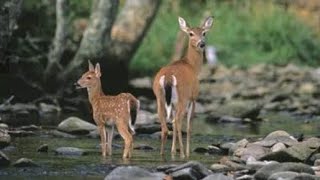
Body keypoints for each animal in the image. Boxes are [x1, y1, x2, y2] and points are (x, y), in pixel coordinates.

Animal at [152, 16, 212, 158]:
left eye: (204, 33)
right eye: (191, 34)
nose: (202, 44)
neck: (192, 66)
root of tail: (168, 77)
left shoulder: (173, 104)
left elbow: (173, 125)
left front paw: (173, 150)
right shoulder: (193, 97)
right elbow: (189, 127)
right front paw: (187, 152)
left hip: (159, 98)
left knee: (166, 127)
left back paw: (163, 154)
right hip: (183, 97)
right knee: (178, 122)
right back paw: (184, 154)